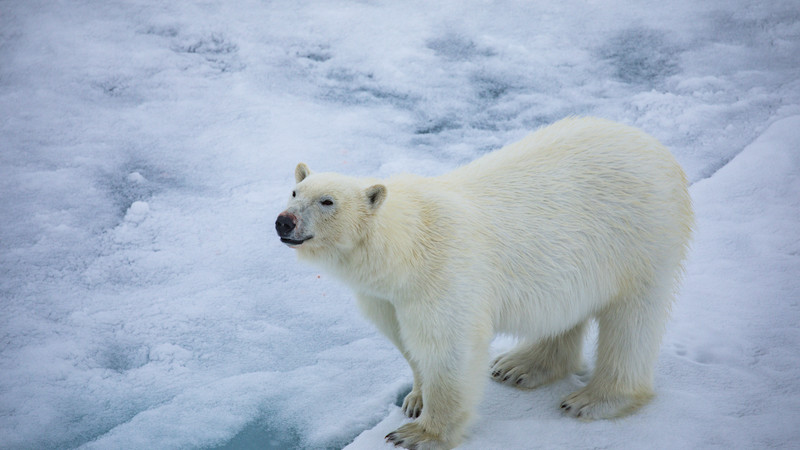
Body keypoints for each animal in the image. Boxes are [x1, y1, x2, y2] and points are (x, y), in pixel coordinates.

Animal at [275, 117, 693, 450]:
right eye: (294, 192)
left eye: (327, 201)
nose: (285, 221)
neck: (406, 246)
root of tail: (656, 148)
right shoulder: (385, 296)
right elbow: (404, 340)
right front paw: (414, 399)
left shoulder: (443, 274)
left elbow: (449, 349)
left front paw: (418, 434)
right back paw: (521, 366)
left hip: (641, 237)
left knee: (632, 320)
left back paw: (592, 399)